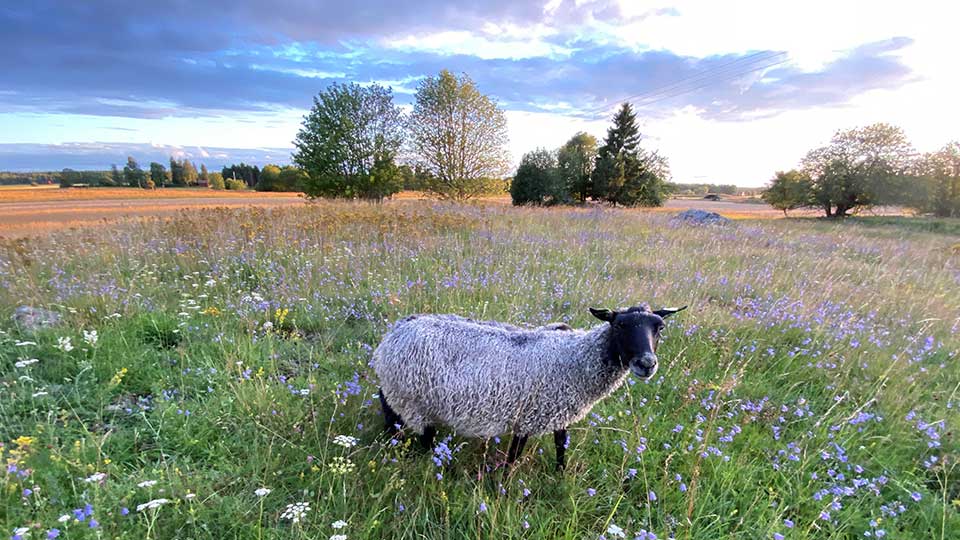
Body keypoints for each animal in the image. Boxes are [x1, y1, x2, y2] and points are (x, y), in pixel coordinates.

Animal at [372, 304, 688, 468]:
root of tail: (396, 331)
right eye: (620, 325)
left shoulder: (559, 409)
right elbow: (514, 456)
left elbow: (561, 445)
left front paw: (560, 475)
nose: (647, 363)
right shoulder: (527, 414)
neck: (576, 357)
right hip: (411, 398)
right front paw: (502, 490)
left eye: (659, 327)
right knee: (408, 425)